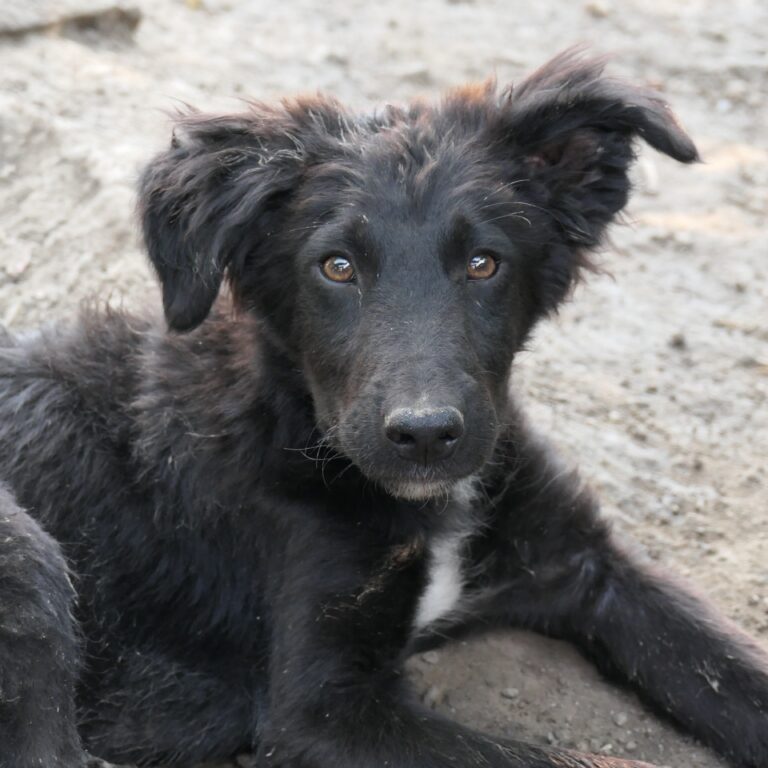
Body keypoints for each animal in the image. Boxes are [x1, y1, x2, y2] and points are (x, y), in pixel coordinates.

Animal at [1, 49, 768, 768]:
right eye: (336, 267)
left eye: (485, 263)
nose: (425, 435)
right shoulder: (322, 714)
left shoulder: (586, 562)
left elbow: (730, 665)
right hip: (31, 553)